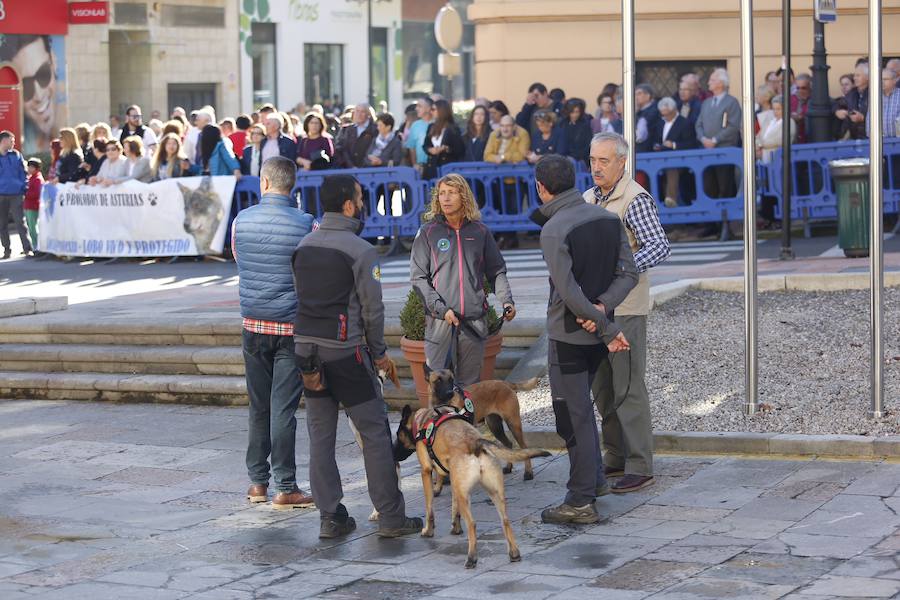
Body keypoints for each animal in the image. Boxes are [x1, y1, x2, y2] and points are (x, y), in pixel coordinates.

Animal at [392, 404, 548, 568]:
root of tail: (475, 443)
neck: (423, 421)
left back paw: (472, 558)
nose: (393, 453)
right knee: (505, 521)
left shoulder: (426, 472)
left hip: (466, 496)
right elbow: (455, 509)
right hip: (493, 492)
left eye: (398, 434)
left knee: (472, 524)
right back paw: (514, 554)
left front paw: (428, 531)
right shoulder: (454, 481)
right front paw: (456, 528)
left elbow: (430, 509)